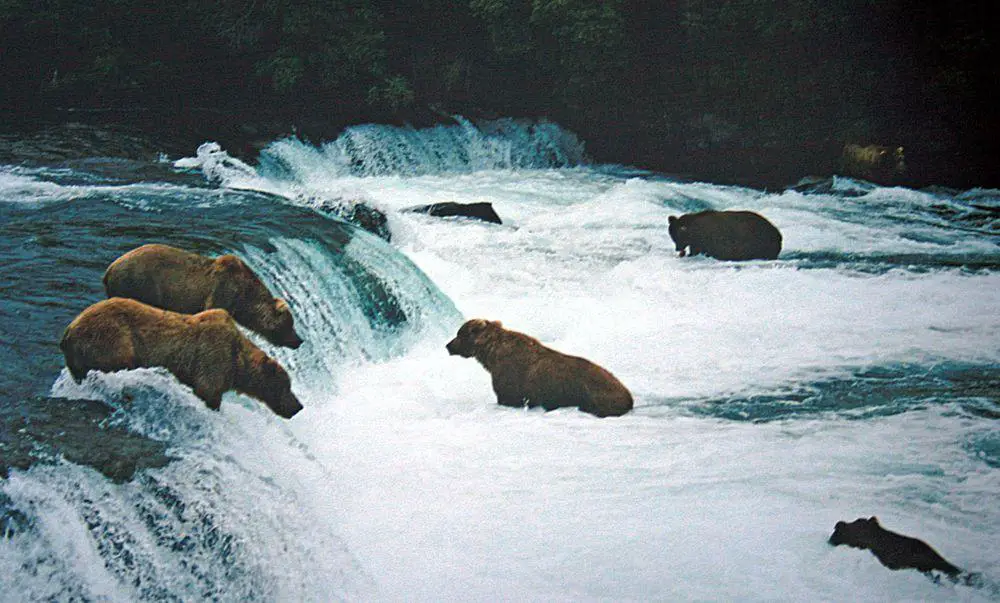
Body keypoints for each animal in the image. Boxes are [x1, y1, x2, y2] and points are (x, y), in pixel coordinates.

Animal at [57, 298, 300, 420]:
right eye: (285, 386)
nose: (298, 406)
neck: (238, 364)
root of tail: (68, 330)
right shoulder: (212, 359)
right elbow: (209, 392)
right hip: (112, 339)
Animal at [104, 243, 304, 350]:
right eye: (289, 324)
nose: (299, 341)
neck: (244, 298)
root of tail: (110, 269)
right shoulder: (221, 291)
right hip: (139, 283)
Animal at [446, 318, 632, 418]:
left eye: (459, 334)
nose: (448, 345)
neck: (491, 356)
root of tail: (628, 396)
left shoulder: (510, 380)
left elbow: (508, 398)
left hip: (595, 394)